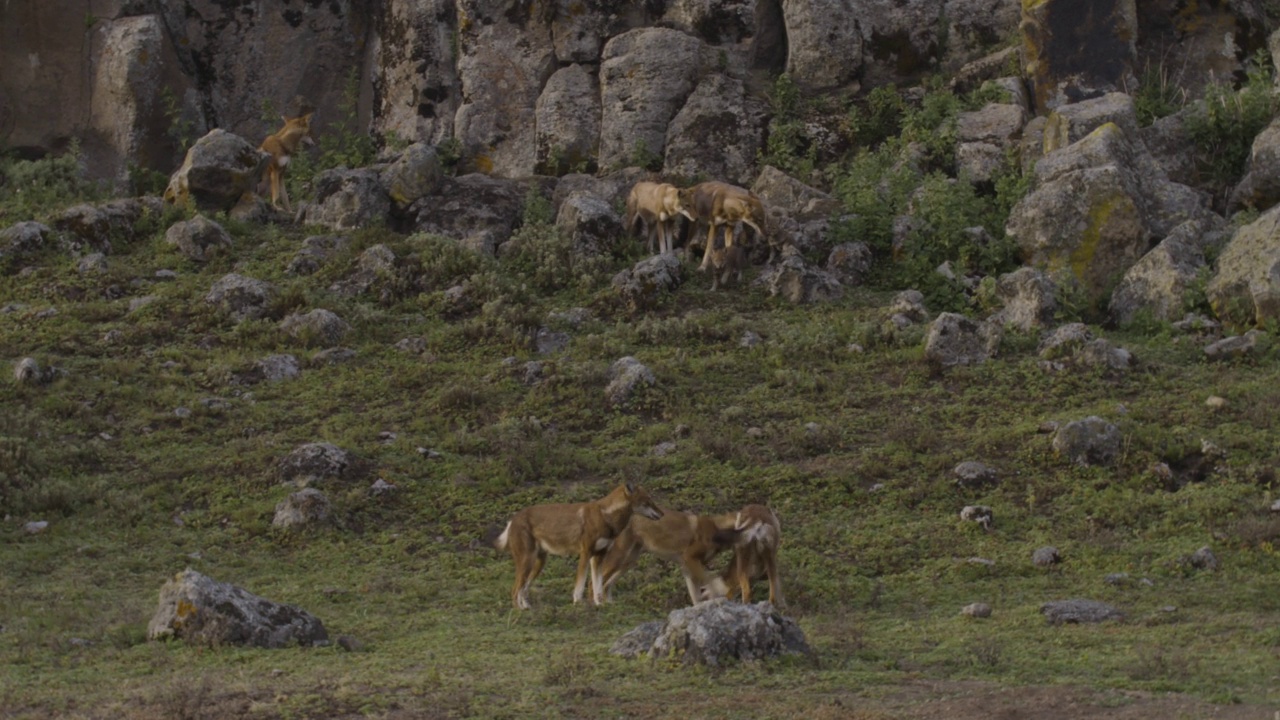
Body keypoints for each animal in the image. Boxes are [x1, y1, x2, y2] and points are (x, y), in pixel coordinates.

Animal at [494, 479, 665, 607]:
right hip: (528, 562)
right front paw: (578, 604)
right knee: (515, 590)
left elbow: (597, 587)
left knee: (523, 590)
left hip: (538, 564)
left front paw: (599, 605)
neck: (606, 517)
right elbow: (580, 585)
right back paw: (520, 613)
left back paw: (528, 610)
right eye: (648, 501)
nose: (663, 514)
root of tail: (513, 519)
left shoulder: (598, 557)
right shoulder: (585, 553)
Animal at [596, 507, 742, 602]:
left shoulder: (687, 567)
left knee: (606, 585)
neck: (717, 530)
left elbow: (696, 598)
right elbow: (709, 582)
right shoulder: (690, 558)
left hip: (628, 563)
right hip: (619, 558)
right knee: (597, 583)